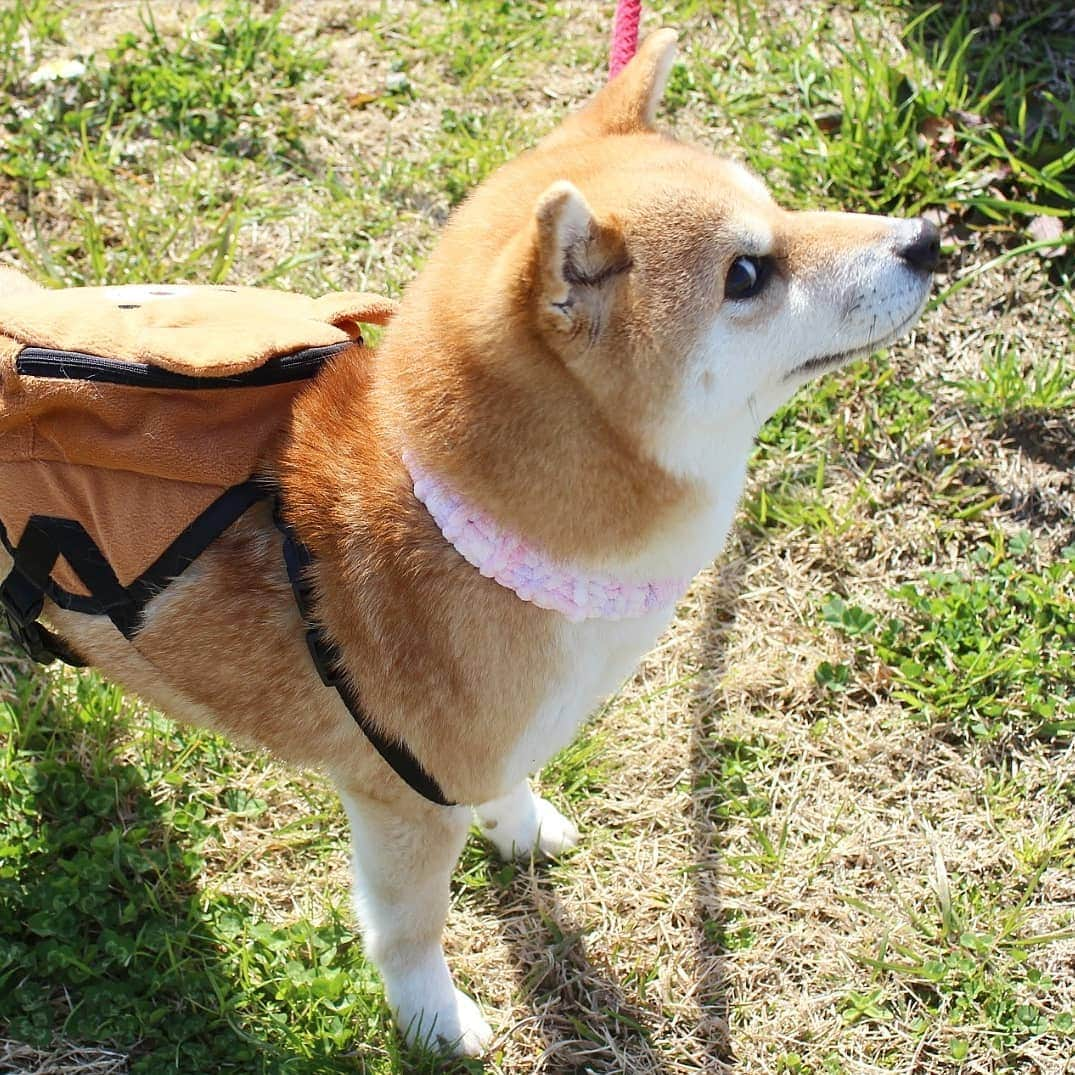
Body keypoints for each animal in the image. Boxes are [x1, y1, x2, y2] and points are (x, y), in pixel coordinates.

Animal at [0, 27, 937, 1057]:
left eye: (778, 205)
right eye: (745, 274)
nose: (926, 238)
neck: (465, 525)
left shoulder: (483, 743)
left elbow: (506, 776)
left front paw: (515, 820)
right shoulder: (400, 797)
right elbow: (411, 925)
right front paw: (430, 1013)